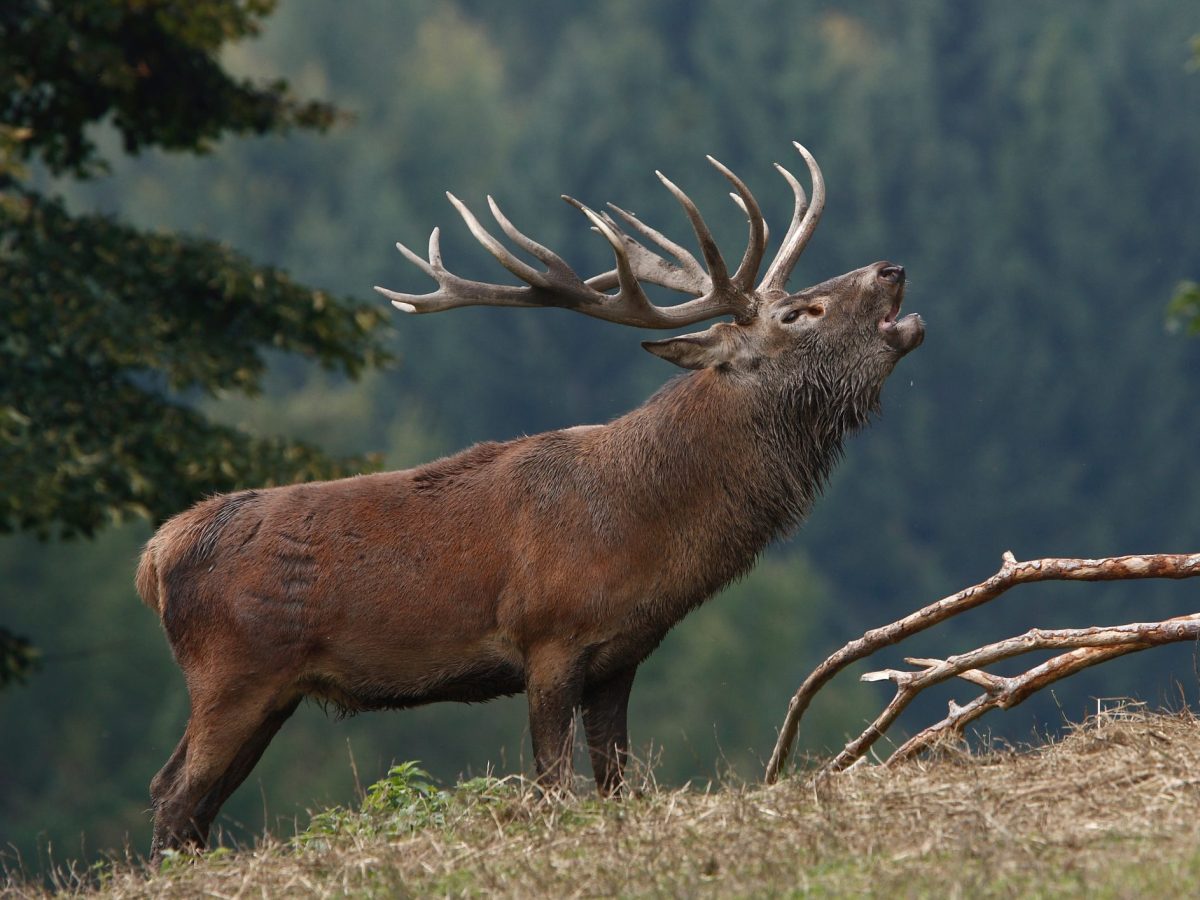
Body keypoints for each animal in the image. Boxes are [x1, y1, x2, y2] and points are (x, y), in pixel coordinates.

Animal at [136, 141, 921, 859]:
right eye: (798, 314)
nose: (892, 269)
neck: (644, 531)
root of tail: (154, 557)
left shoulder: (621, 656)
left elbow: (614, 785)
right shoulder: (548, 639)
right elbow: (550, 787)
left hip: (272, 689)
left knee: (191, 800)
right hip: (232, 671)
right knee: (173, 794)